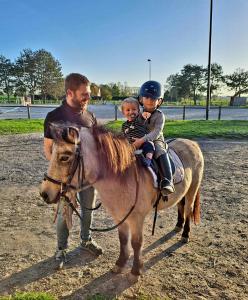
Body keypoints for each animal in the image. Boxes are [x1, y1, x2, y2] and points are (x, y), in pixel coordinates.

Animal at [40, 125, 203, 278]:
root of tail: (191, 143)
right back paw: (178, 226)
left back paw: (185, 234)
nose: (44, 193)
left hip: (192, 189)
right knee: (180, 206)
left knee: (188, 209)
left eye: (64, 157)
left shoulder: (137, 219)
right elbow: (123, 240)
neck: (123, 176)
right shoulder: (120, 217)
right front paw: (120, 264)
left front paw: (136, 270)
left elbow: (136, 243)